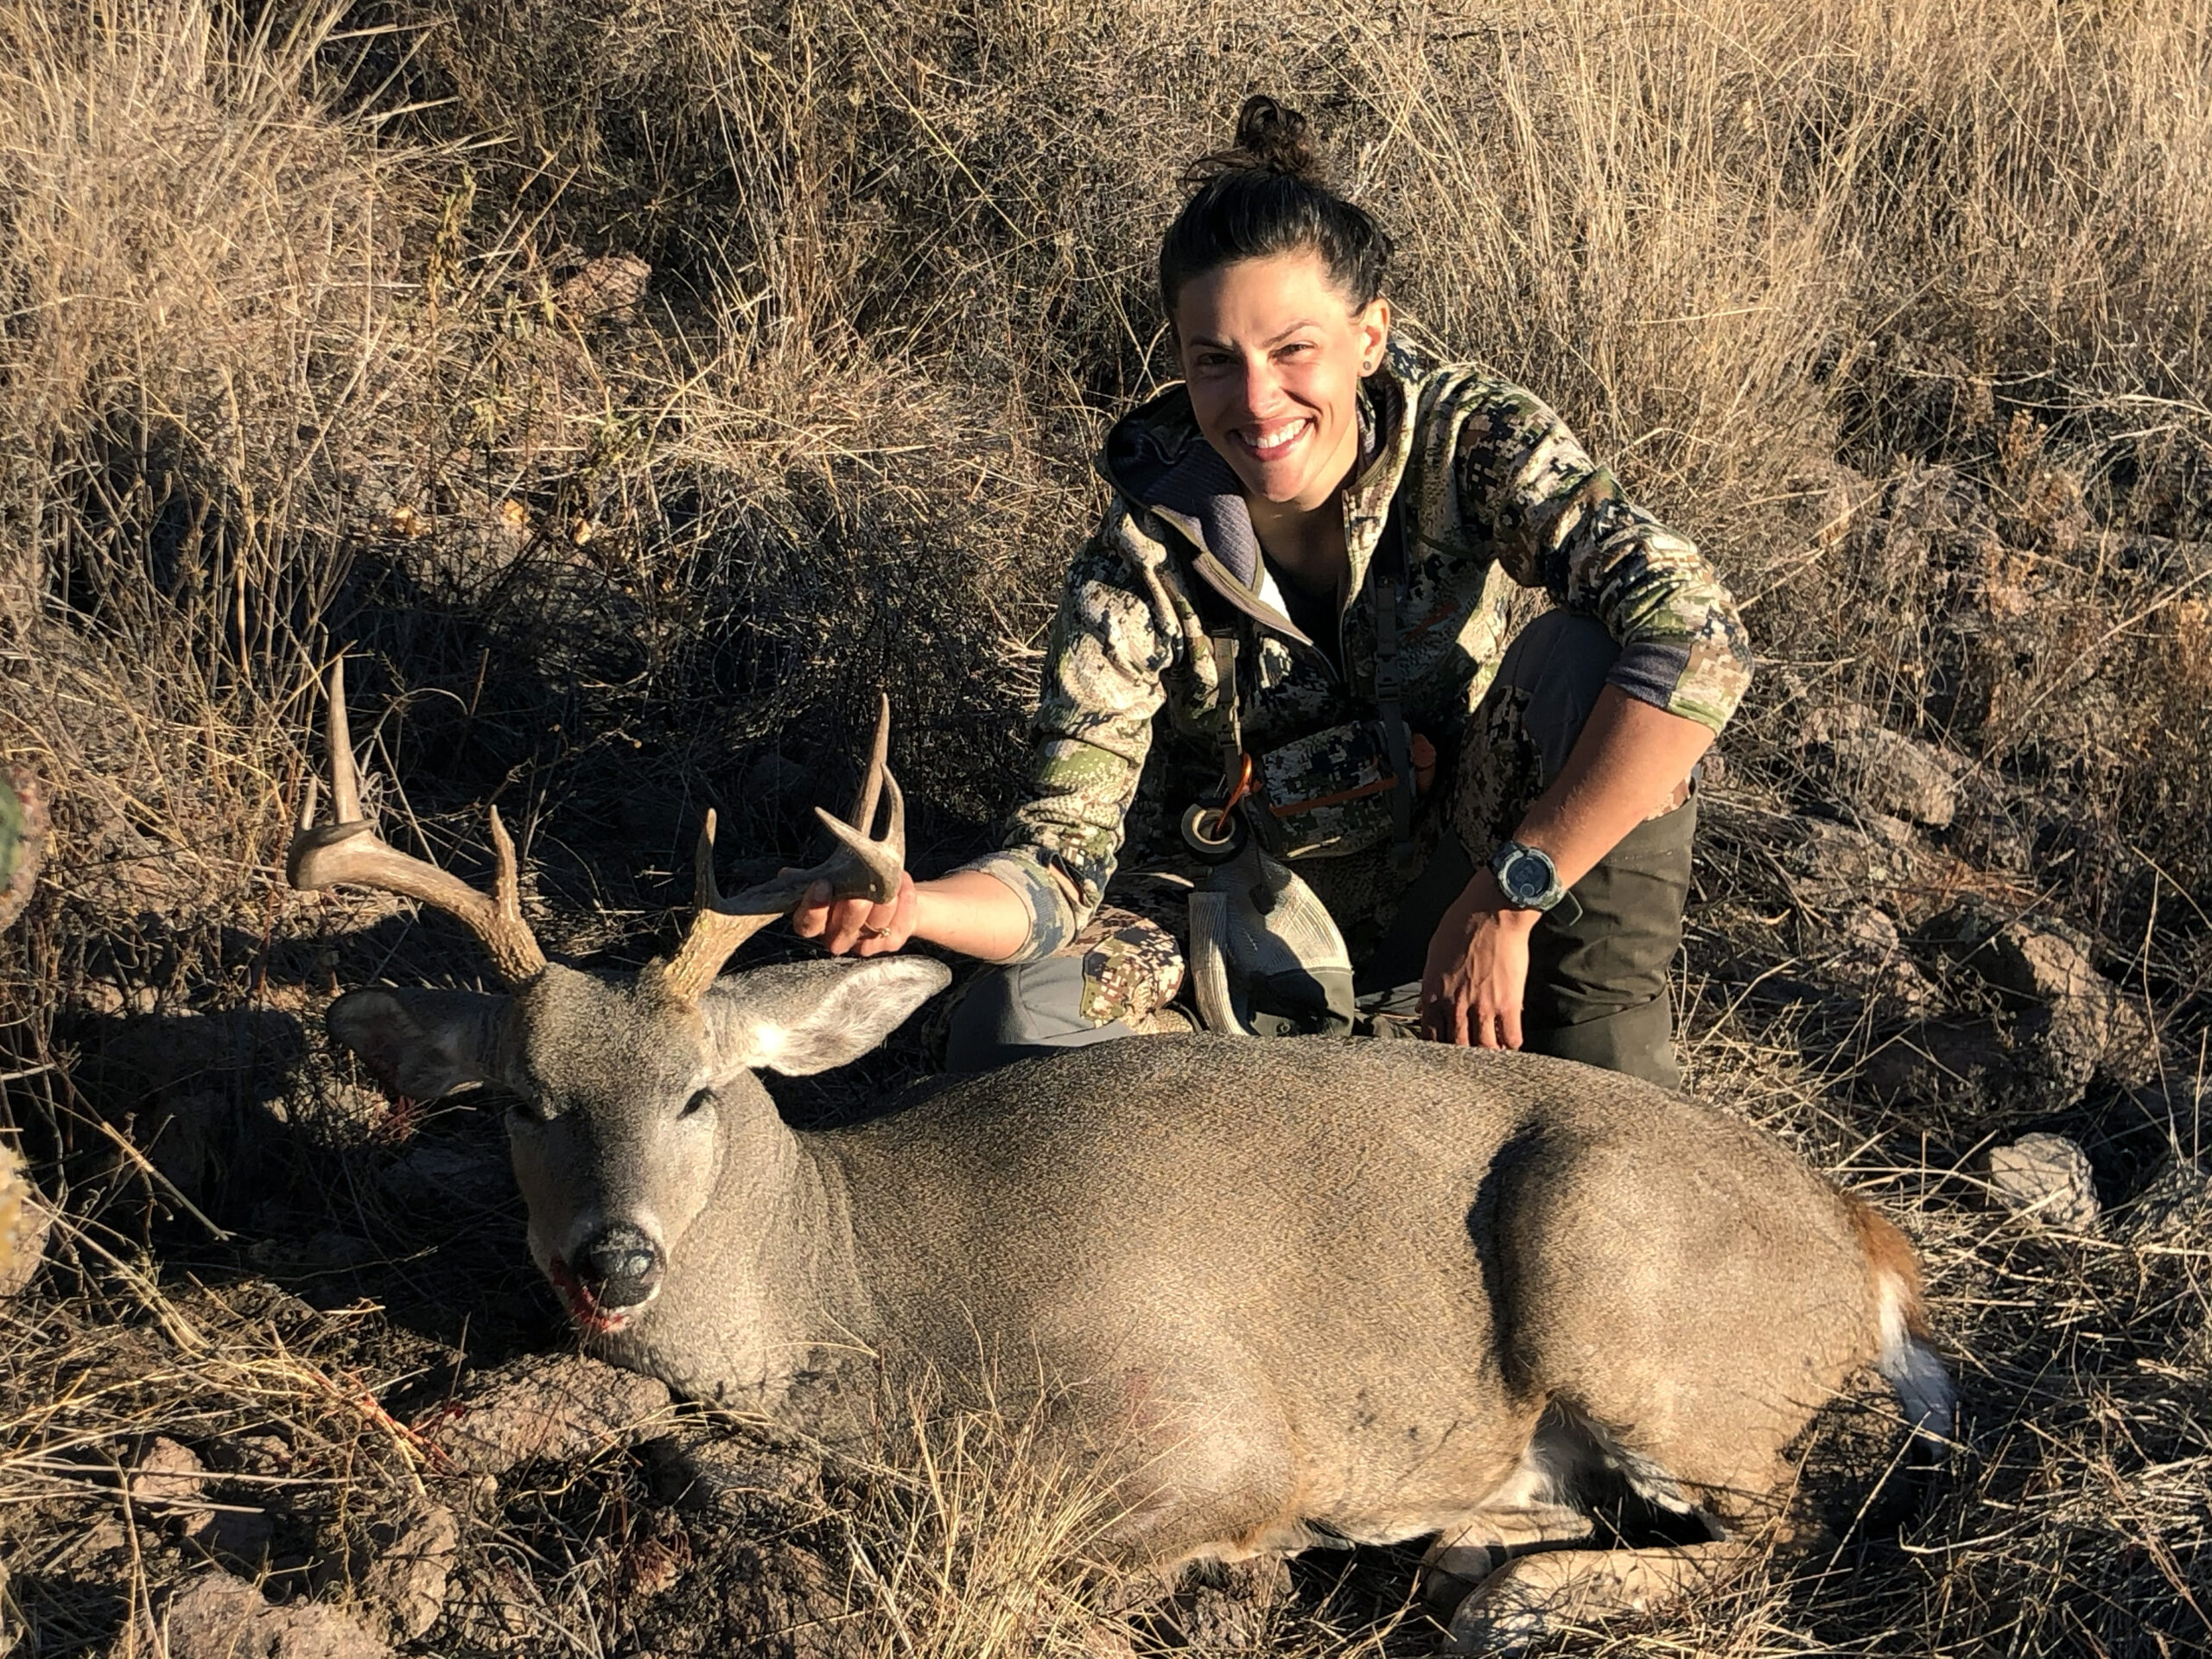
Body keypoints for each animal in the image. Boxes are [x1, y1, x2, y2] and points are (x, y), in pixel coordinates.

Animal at [294, 658, 1955, 1654]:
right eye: (520, 1098)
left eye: (702, 1094)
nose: (615, 1259)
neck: (866, 1297)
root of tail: (1871, 1245)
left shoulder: (1208, 1422)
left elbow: (1095, 1551)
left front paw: (1242, 1564)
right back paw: (1478, 1547)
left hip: (1617, 1271)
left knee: (1788, 1525)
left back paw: (1518, 1592)